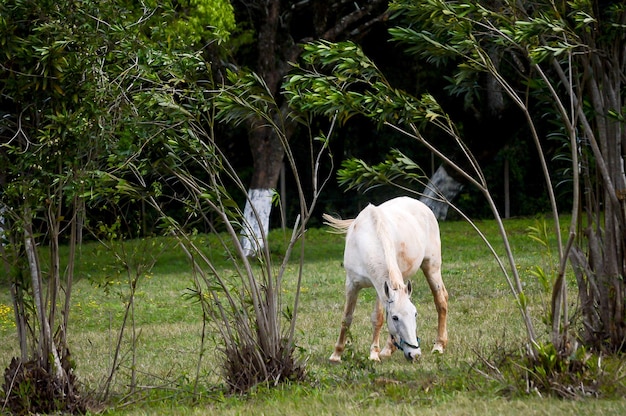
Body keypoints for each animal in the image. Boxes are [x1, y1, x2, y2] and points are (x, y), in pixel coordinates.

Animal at [322, 197, 448, 362]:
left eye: (415, 314)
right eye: (395, 318)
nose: (415, 354)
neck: (365, 242)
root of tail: (423, 206)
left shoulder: (380, 287)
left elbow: (378, 318)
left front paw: (373, 355)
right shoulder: (352, 284)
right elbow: (346, 318)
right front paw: (336, 355)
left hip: (431, 268)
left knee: (441, 302)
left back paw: (438, 346)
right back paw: (389, 349)